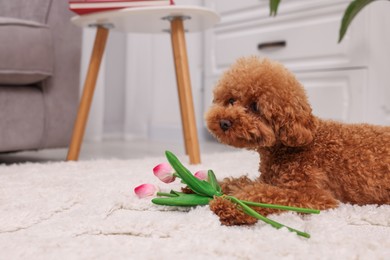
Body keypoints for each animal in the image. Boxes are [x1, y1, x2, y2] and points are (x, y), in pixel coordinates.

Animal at [206, 57, 390, 225]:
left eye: (255, 107)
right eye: (231, 100)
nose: (223, 122)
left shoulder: (313, 195)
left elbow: (266, 194)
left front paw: (229, 205)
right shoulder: (267, 179)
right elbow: (241, 182)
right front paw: (210, 184)